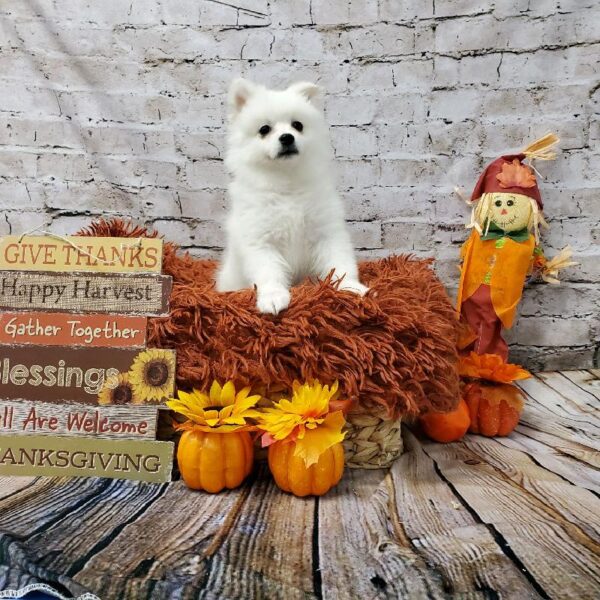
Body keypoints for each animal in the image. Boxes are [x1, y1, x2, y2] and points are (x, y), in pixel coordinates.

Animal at [216, 79, 366, 314]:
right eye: (264, 129)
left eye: (298, 125)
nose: (287, 137)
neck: (287, 185)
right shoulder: (260, 240)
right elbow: (269, 273)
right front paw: (273, 297)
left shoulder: (326, 232)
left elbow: (338, 263)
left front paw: (350, 287)